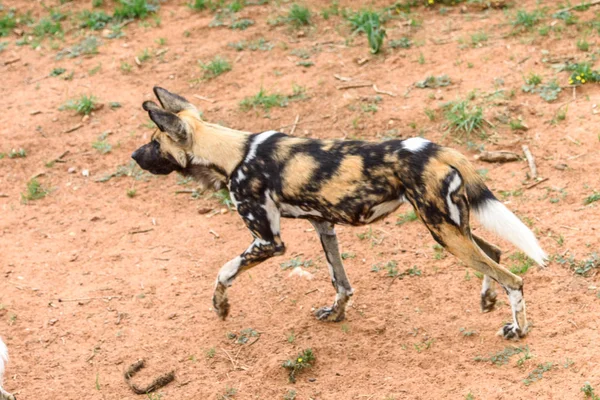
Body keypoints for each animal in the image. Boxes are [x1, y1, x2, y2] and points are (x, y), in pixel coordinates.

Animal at [134, 87, 548, 340]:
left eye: (154, 143)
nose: (134, 156)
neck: (233, 153)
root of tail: (436, 148)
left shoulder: (268, 242)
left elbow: (223, 271)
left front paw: (221, 307)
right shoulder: (324, 226)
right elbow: (341, 282)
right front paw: (336, 314)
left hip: (442, 231)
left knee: (513, 278)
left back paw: (519, 330)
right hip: (452, 226)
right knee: (494, 253)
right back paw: (488, 301)